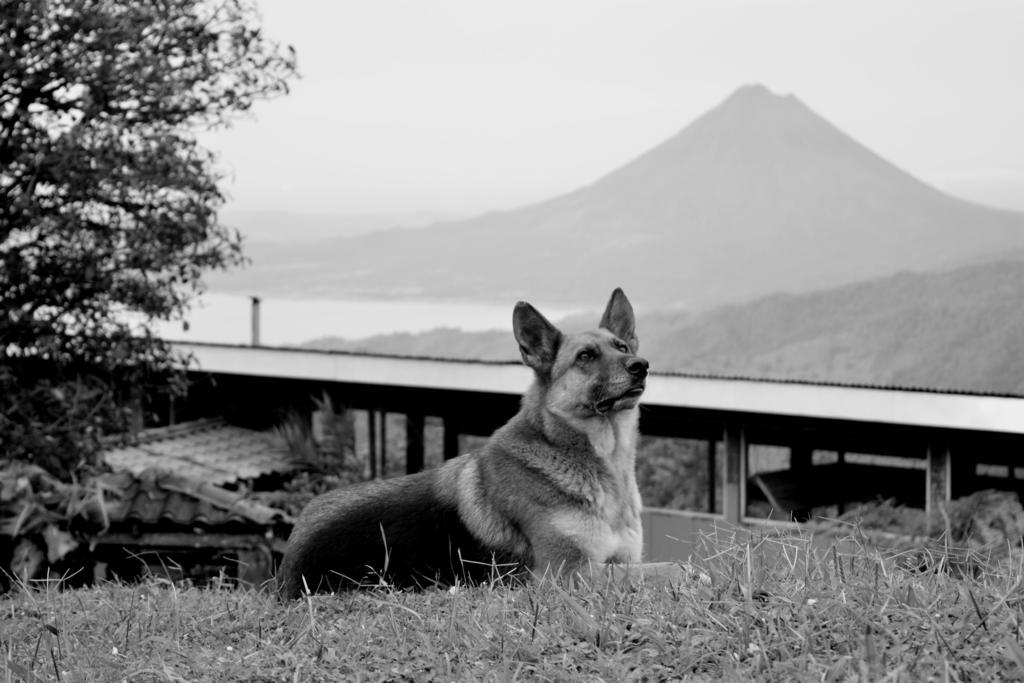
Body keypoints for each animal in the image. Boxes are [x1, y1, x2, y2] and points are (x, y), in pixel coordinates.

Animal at [276, 288, 684, 598]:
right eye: (585, 356)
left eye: (622, 346)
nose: (641, 365)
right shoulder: (566, 573)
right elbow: (672, 566)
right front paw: (687, 572)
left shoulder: (616, 560)